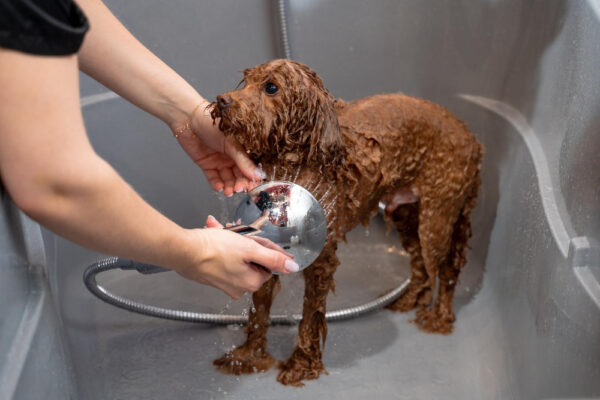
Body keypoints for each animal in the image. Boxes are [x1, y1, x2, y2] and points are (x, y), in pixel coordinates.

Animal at [210, 58, 482, 384]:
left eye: (271, 87)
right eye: (247, 80)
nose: (222, 100)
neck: (294, 164)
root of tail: (471, 137)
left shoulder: (322, 259)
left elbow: (310, 315)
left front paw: (301, 364)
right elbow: (259, 309)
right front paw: (248, 356)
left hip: (438, 216)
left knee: (445, 266)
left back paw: (439, 317)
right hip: (405, 213)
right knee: (419, 262)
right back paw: (410, 299)